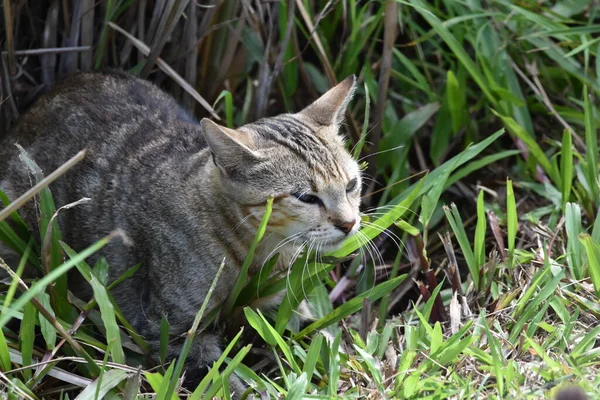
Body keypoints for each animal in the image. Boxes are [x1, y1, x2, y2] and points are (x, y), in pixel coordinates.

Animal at [0, 69, 360, 396]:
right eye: (306, 197)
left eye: (351, 185)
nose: (349, 223)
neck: (256, 251)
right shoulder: (173, 330)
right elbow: (222, 380)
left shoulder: (282, 302)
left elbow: (323, 334)